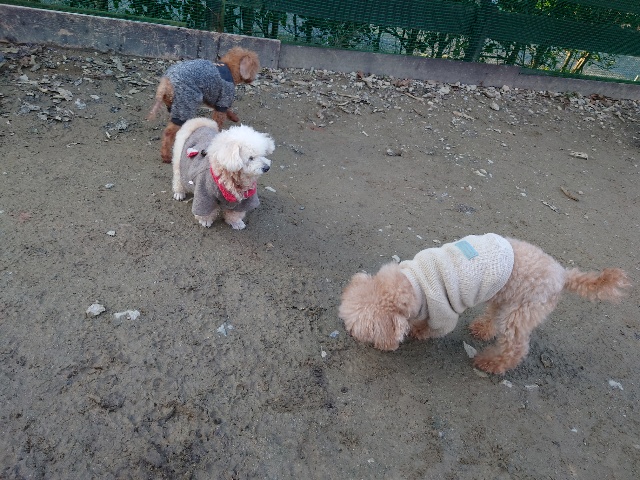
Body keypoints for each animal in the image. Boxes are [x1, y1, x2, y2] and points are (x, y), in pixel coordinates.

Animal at [339, 233, 630, 374]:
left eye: (359, 330)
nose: (349, 334)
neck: (414, 281)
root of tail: (562, 274)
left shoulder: (443, 314)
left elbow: (432, 328)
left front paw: (418, 332)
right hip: (506, 295)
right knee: (495, 315)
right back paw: (482, 329)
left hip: (523, 310)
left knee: (516, 347)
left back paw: (491, 363)